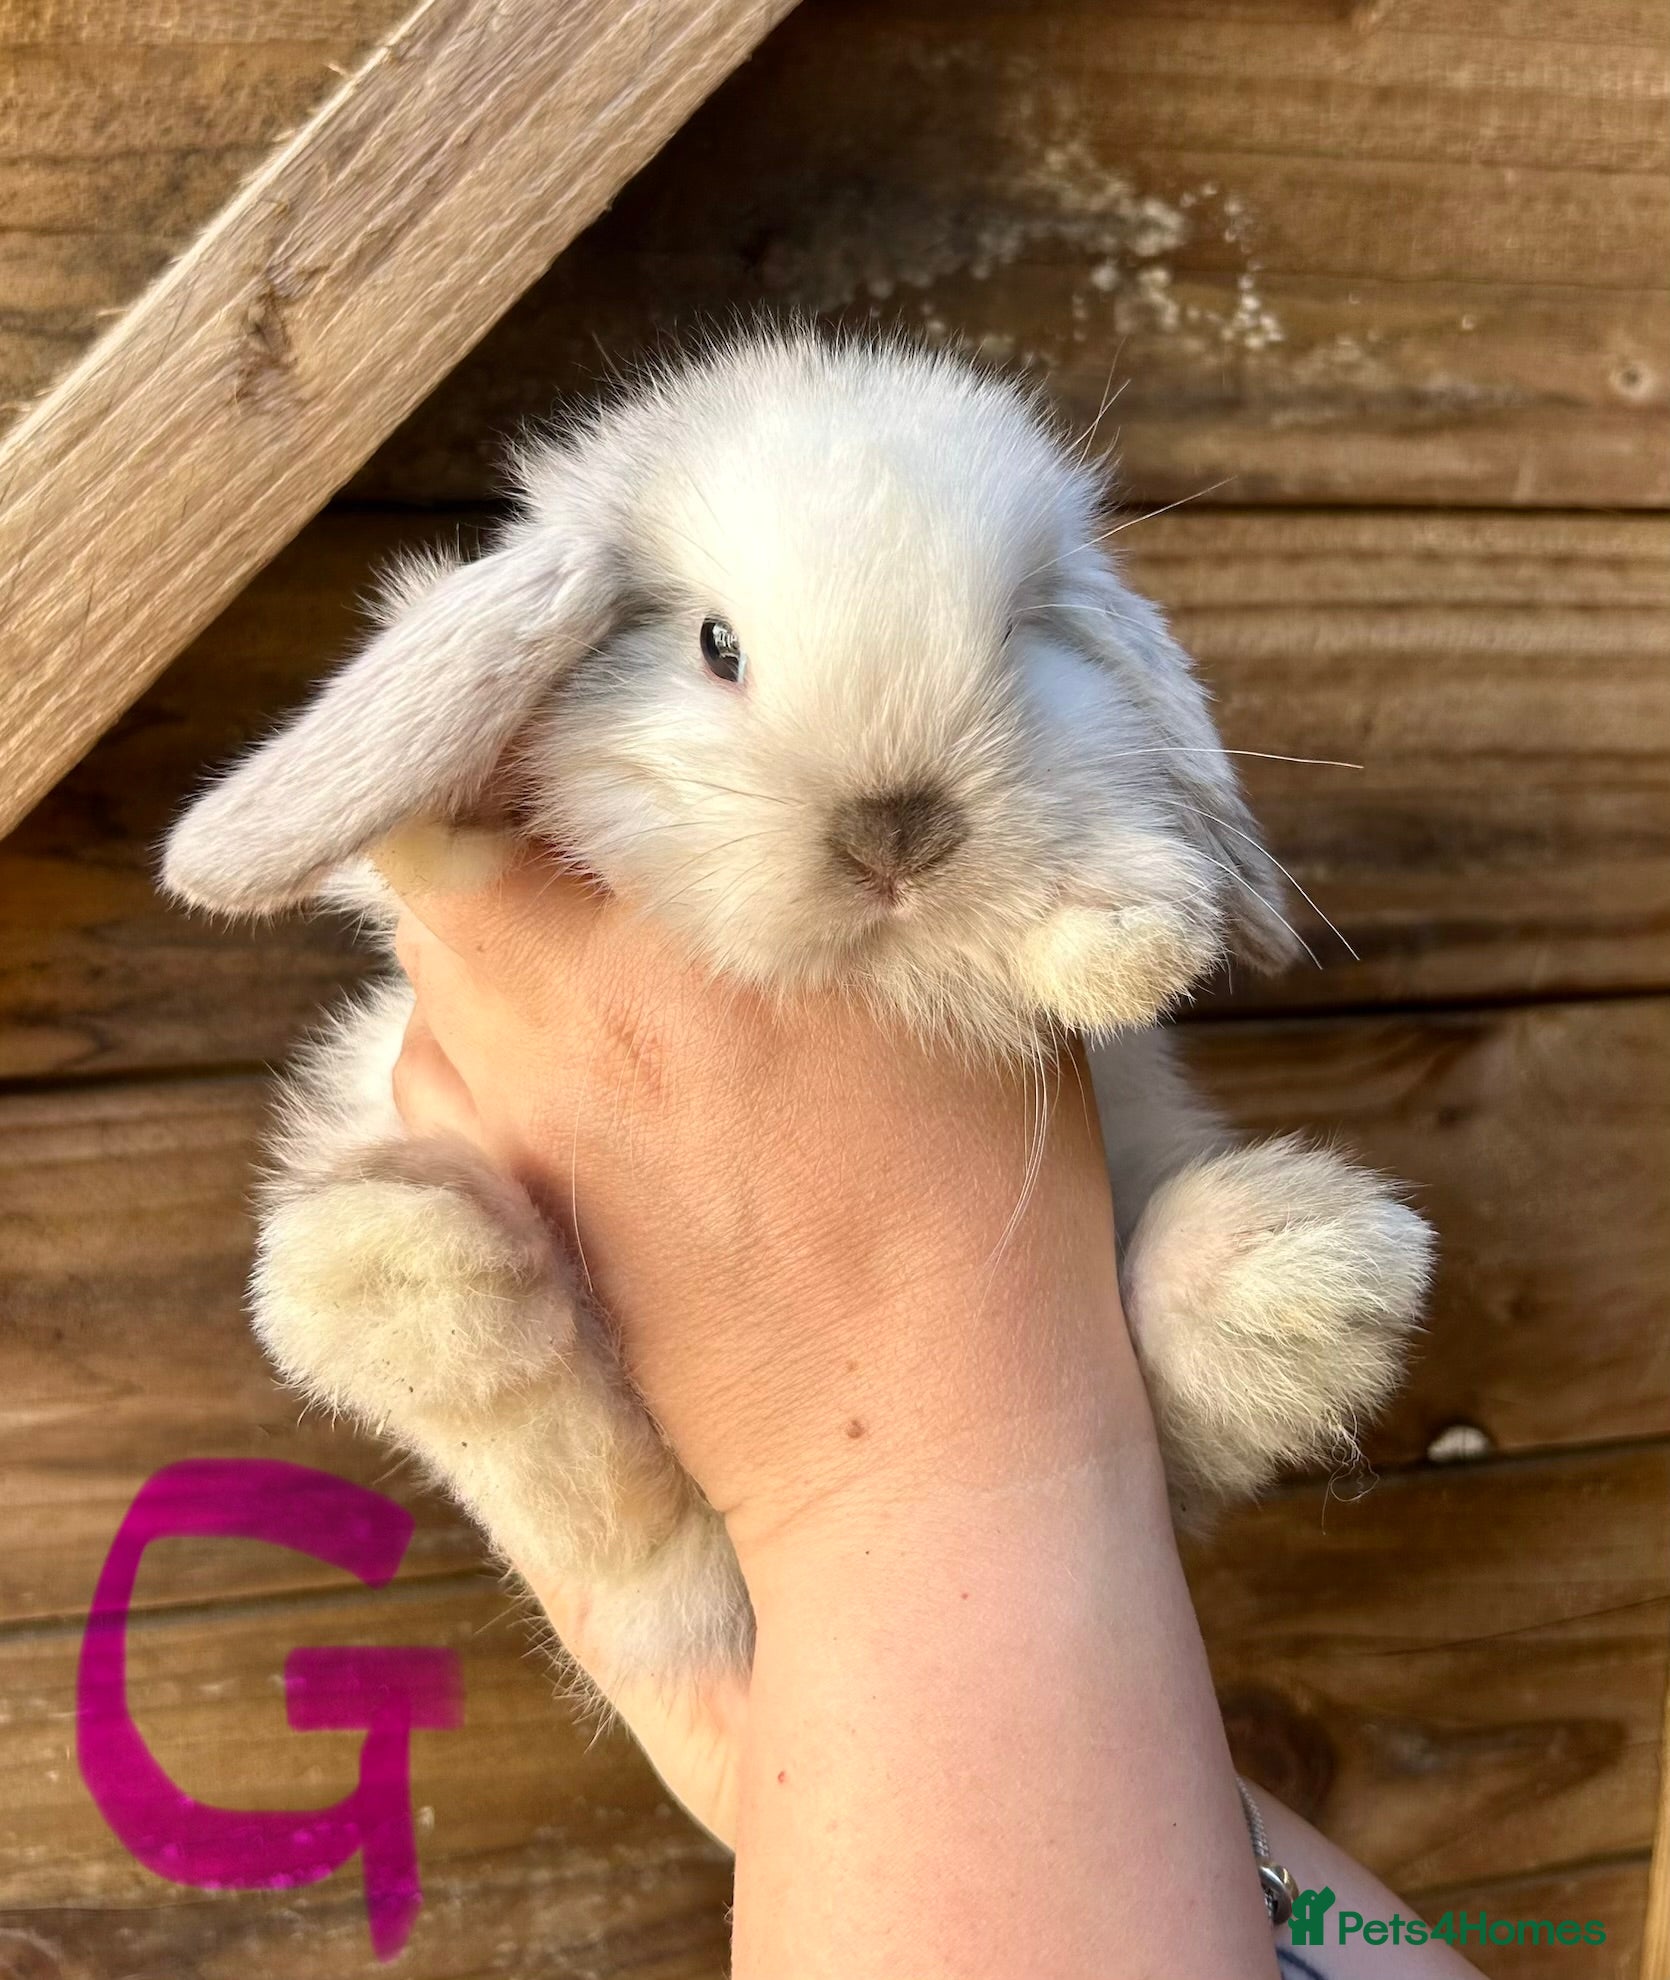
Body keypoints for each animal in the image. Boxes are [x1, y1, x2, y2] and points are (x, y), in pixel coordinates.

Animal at [164, 328, 1432, 1697]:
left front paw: (1119, 935)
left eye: (1018, 639)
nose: (897, 833)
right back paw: (405, 1269)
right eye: (715, 644)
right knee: (597, 1500)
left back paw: (1293, 1280)